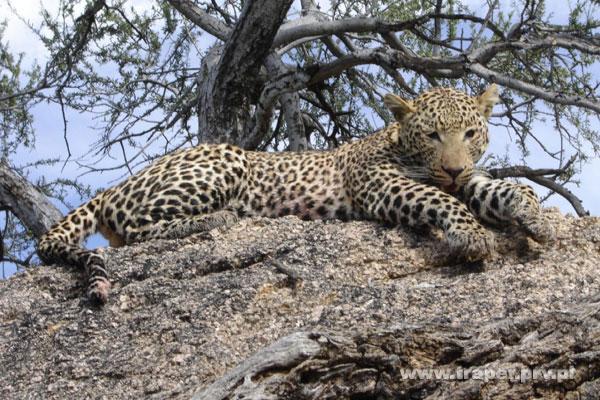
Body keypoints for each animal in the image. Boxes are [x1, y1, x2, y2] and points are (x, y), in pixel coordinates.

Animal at [36, 84, 552, 304]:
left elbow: (508, 187)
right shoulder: (383, 186)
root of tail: (117, 184)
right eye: (431, 135)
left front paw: (538, 218)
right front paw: (472, 236)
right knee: (135, 228)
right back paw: (220, 218)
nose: (452, 167)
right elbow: (443, 200)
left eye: (470, 133)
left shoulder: (471, 179)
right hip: (226, 159)